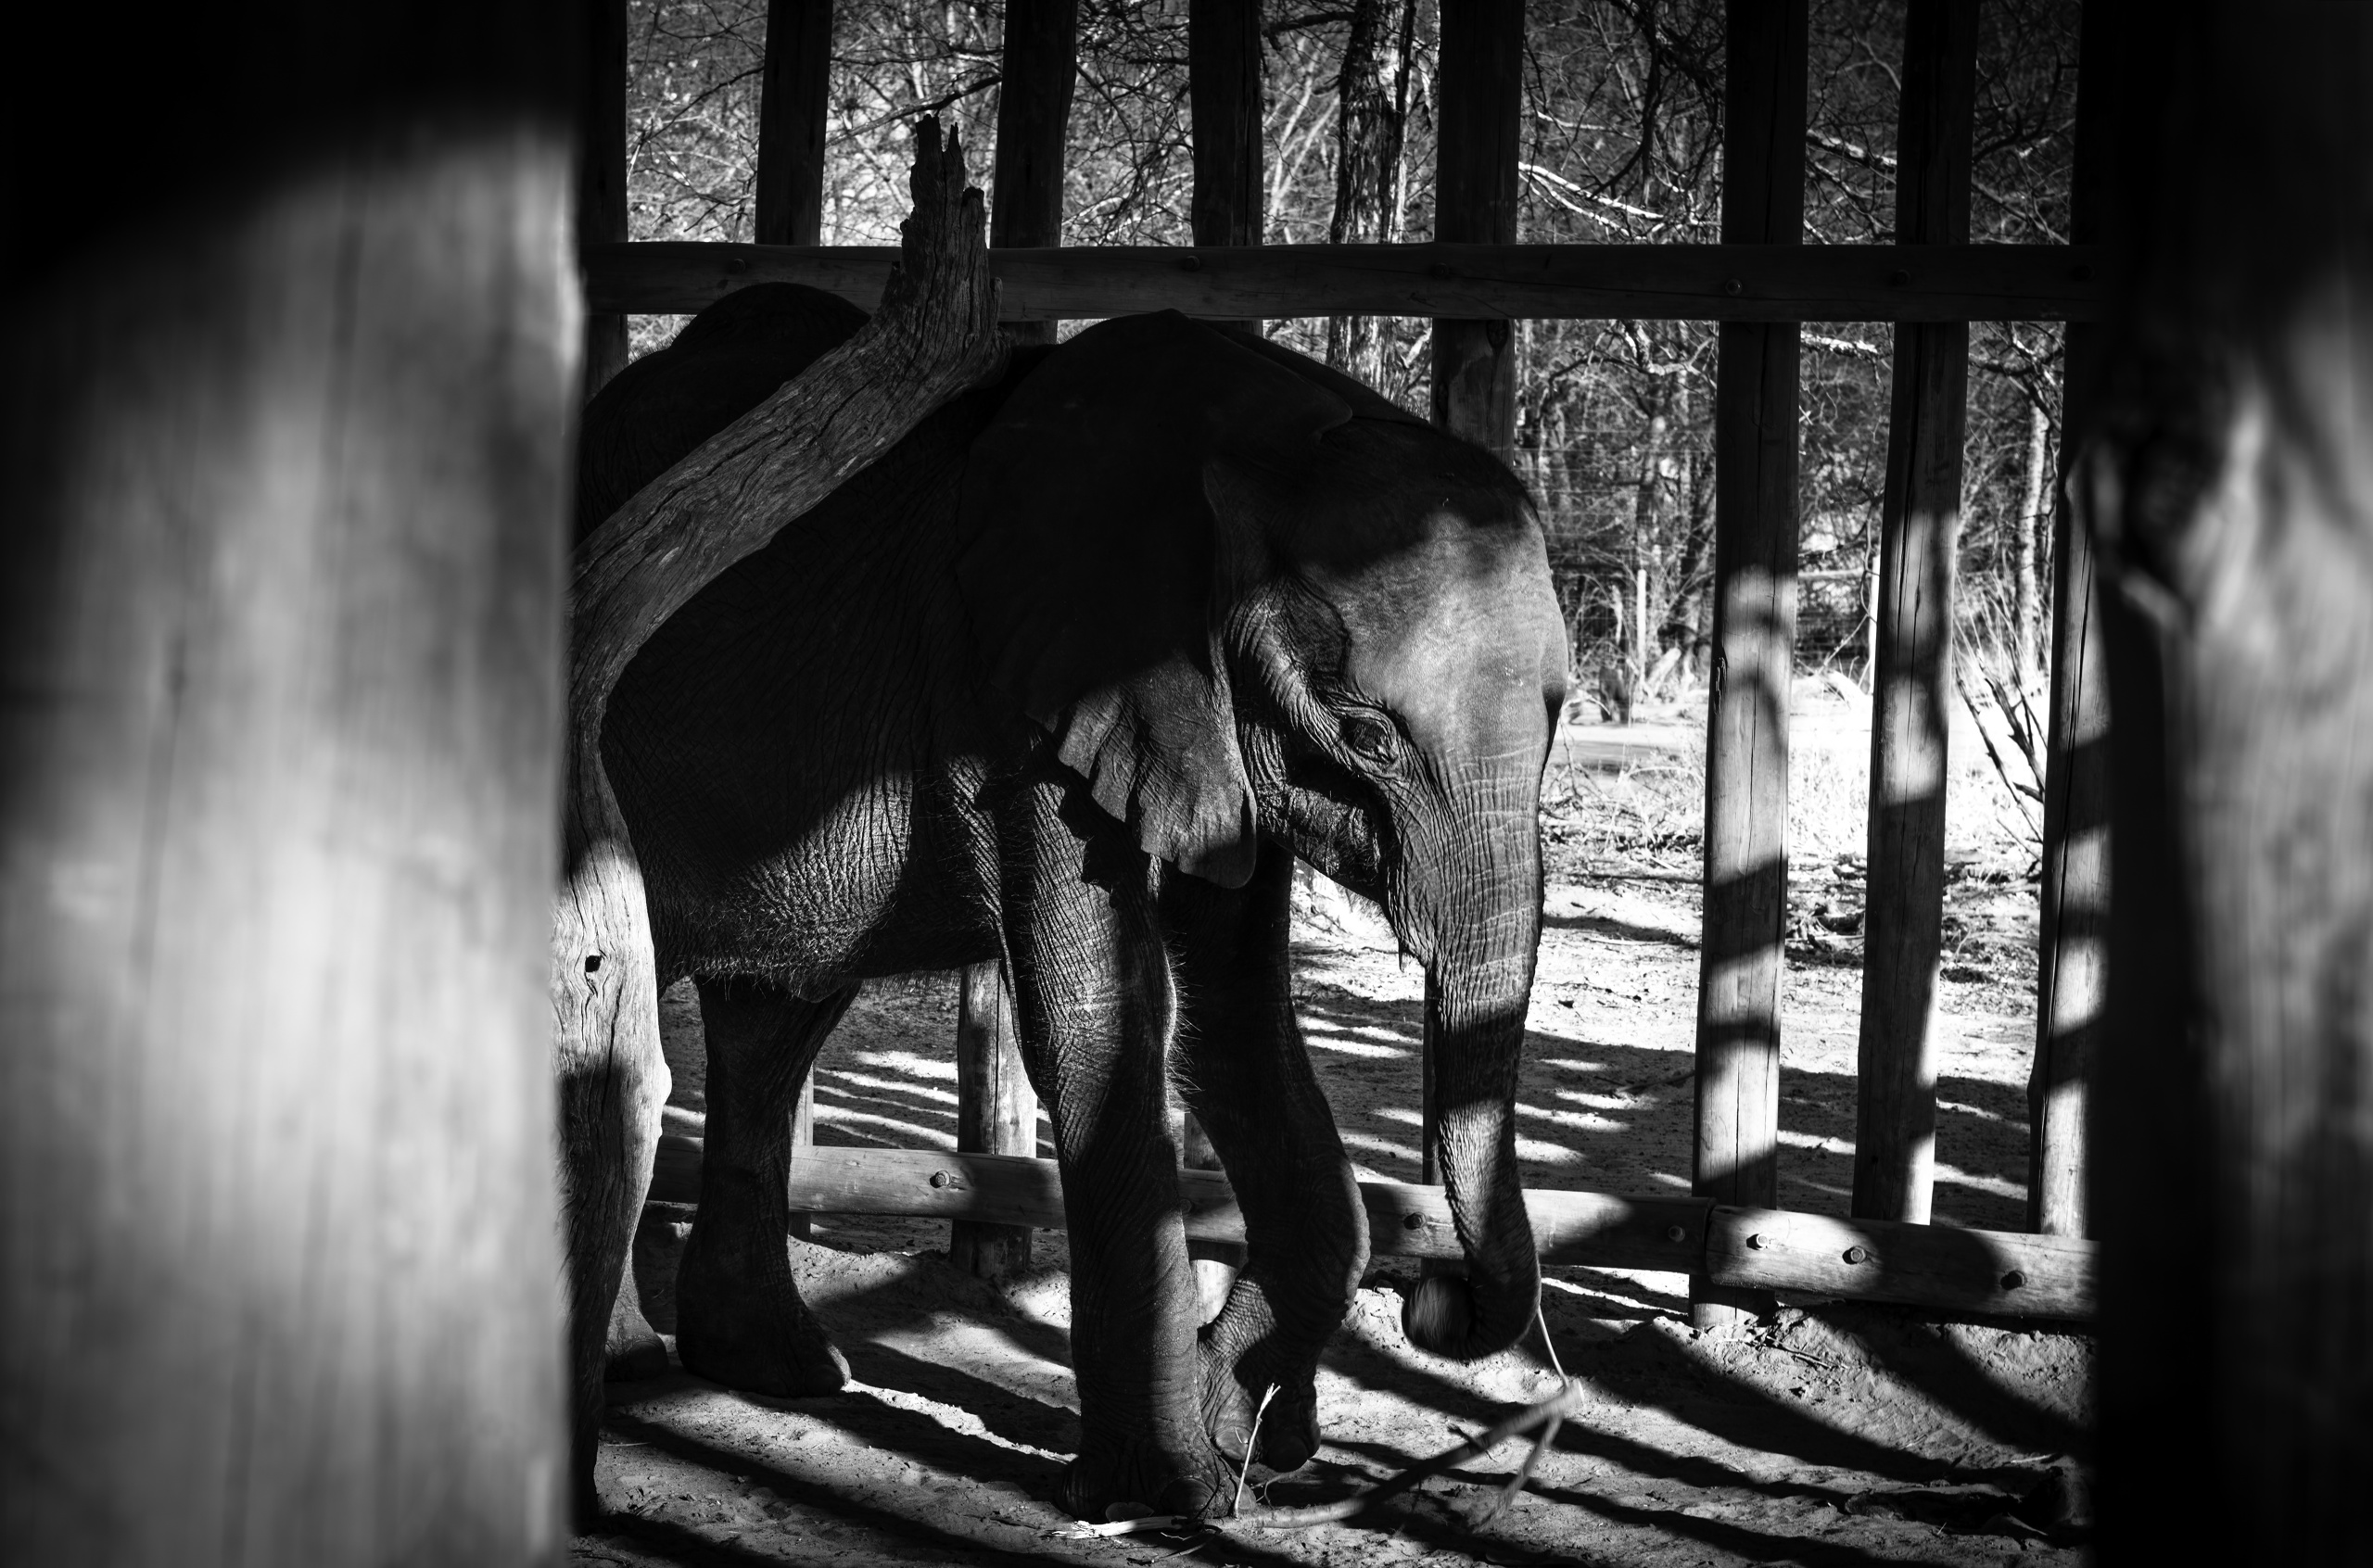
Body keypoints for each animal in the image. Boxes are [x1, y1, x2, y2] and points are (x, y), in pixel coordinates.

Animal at [571, 282, 1567, 1519]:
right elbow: (1102, 1019)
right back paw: (640, 1370)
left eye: (1563, 715)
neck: (1259, 431)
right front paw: (1172, 1491)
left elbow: (1241, 1026)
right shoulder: (1026, 693)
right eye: (1366, 736)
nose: (1436, 1306)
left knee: (773, 1023)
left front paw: (1246, 1427)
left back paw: (782, 1371)